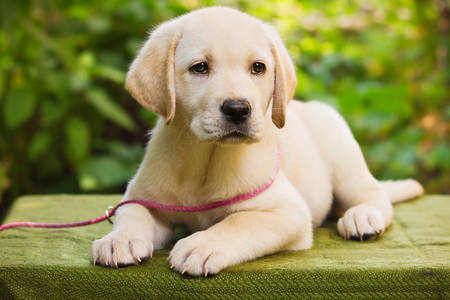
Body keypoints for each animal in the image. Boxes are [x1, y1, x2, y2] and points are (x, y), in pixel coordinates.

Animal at [91, 5, 422, 276]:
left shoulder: (287, 212)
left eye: (258, 67)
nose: (238, 109)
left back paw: (362, 217)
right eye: (200, 67)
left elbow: (238, 222)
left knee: (373, 193)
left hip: (341, 152)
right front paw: (119, 240)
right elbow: (131, 212)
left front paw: (202, 245)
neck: (208, 158)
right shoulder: (143, 195)